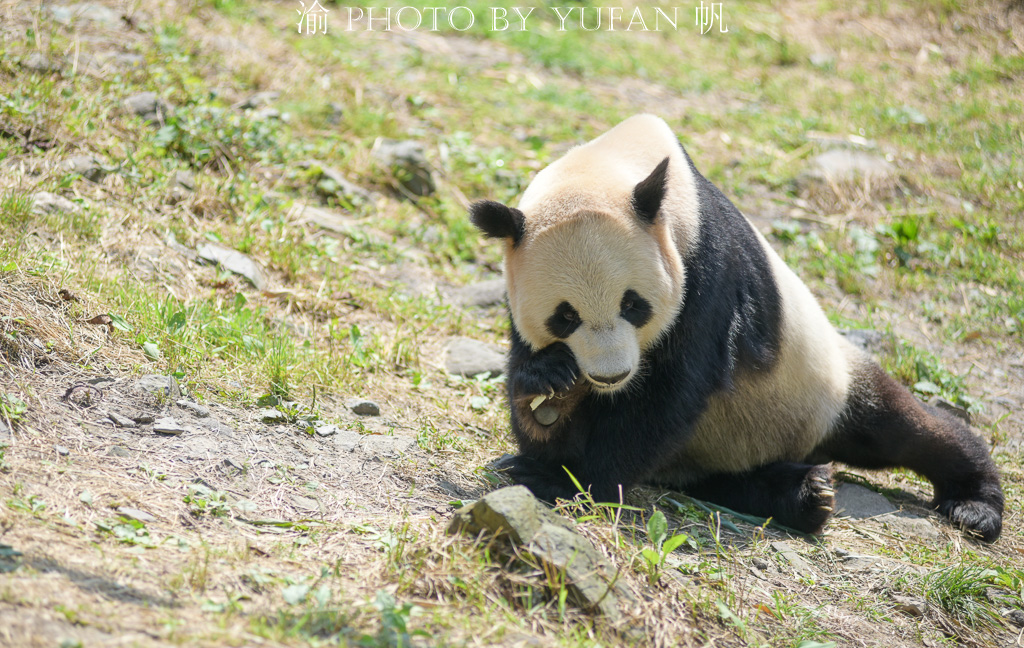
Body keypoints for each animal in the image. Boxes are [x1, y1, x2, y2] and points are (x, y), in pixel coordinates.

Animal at [471, 113, 1007, 536]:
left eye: (633, 305)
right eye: (565, 316)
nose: (610, 375)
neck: (615, 159)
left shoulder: (704, 275)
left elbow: (666, 396)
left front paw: (570, 480)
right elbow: (536, 391)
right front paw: (549, 395)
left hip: (820, 382)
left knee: (900, 427)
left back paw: (974, 503)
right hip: (721, 444)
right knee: (734, 481)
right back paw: (803, 495)